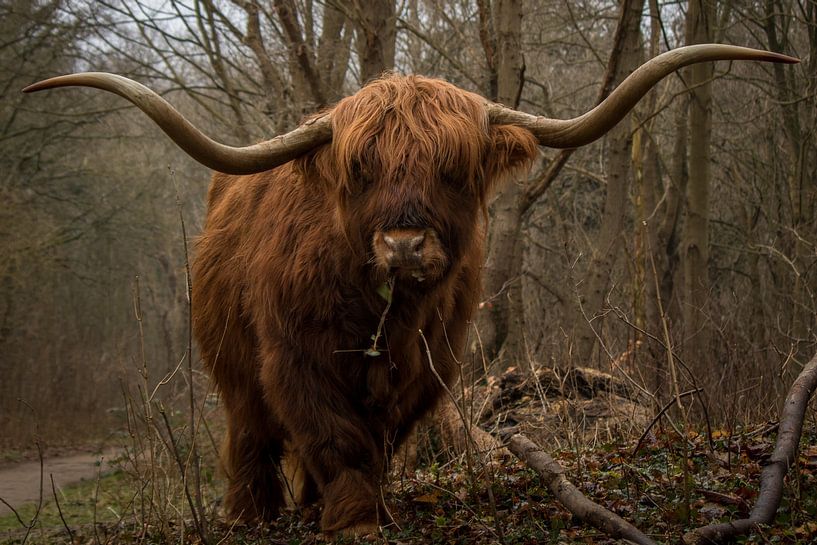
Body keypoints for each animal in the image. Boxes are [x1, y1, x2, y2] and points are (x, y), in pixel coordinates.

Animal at [25, 43, 796, 536]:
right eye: (360, 169)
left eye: (453, 168)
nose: (403, 245)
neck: (379, 313)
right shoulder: (295, 359)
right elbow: (334, 436)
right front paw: (355, 522)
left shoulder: (428, 365)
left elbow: (375, 439)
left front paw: (350, 510)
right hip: (234, 368)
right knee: (250, 436)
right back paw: (252, 515)